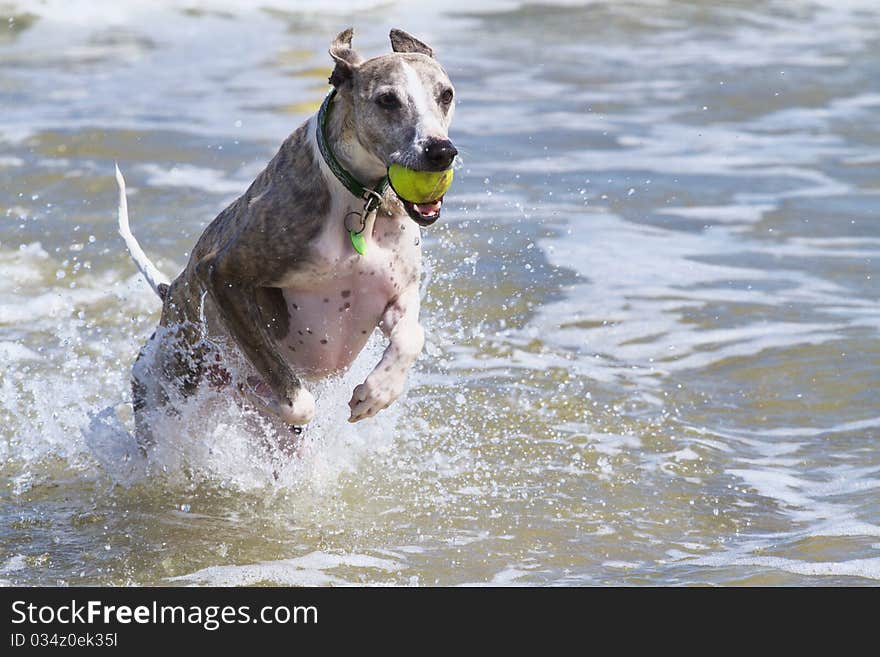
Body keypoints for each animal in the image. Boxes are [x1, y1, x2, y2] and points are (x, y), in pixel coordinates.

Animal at [117, 29, 458, 446]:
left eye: (445, 94)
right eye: (387, 100)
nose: (441, 151)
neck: (360, 202)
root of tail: (169, 294)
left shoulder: (398, 292)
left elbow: (412, 337)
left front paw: (376, 392)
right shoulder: (224, 274)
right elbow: (296, 399)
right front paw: (263, 395)